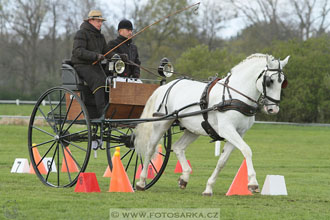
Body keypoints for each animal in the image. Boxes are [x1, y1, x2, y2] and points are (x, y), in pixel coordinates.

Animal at [134, 54, 288, 195]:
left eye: (282, 82)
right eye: (269, 81)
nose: (273, 109)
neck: (235, 97)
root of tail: (167, 85)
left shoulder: (239, 133)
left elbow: (222, 161)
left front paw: (208, 188)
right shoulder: (227, 130)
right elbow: (247, 150)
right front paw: (253, 183)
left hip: (193, 129)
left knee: (178, 147)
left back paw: (184, 177)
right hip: (161, 123)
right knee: (150, 149)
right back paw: (141, 182)